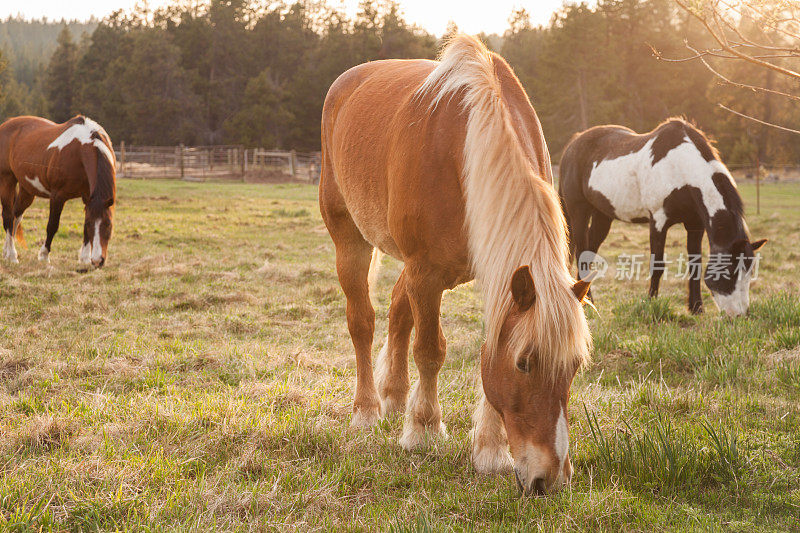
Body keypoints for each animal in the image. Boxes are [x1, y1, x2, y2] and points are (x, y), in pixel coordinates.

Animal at [0, 115, 115, 266]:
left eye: (108, 225)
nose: (97, 261)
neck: (80, 151)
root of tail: (5, 124)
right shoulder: (57, 197)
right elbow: (52, 225)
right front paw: (44, 256)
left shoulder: (87, 198)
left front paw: (84, 259)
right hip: (7, 180)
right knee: (8, 216)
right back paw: (13, 256)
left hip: (27, 190)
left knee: (16, 216)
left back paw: (6, 252)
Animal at [320, 35, 592, 494]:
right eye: (524, 363)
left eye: (573, 367)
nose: (549, 479)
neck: (465, 151)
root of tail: (347, 81)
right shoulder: (427, 273)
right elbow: (431, 350)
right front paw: (424, 430)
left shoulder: (494, 277)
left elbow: (483, 350)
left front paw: (490, 450)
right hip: (350, 240)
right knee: (363, 322)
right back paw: (368, 410)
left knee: (397, 312)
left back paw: (394, 395)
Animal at [560, 118, 764, 314]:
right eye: (729, 272)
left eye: (749, 272)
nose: (739, 314)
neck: (680, 167)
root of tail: (572, 145)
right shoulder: (658, 221)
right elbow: (657, 264)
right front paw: (651, 303)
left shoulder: (695, 224)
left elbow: (695, 264)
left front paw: (696, 307)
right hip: (579, 211)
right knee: (580, 251)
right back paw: (588, 301)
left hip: (602, 215)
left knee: (590, 249)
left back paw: (585, 299)